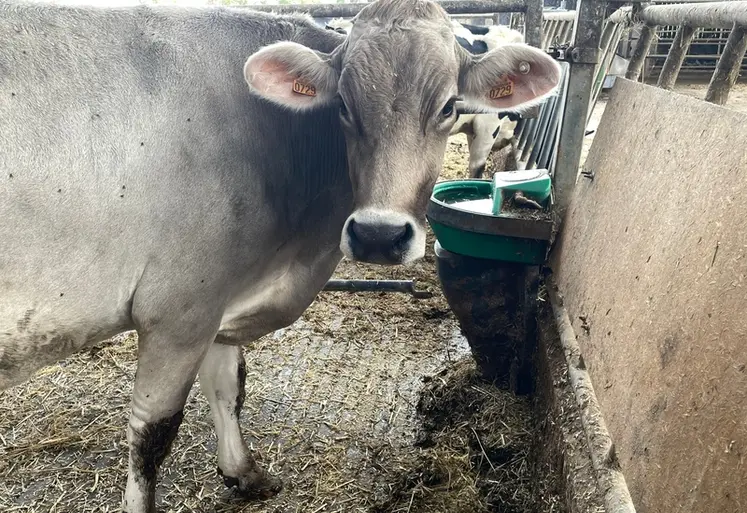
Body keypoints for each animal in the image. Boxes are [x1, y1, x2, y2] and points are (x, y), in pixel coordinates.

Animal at [0, 0, 561, 511]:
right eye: (343, 106)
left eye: (448, 106)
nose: (378, 235)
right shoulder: (179, 309)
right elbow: (153, 433)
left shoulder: (221, 295)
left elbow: (229, 387)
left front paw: (243, 473)